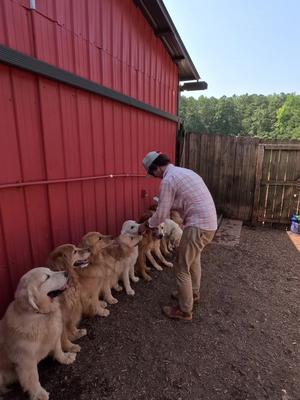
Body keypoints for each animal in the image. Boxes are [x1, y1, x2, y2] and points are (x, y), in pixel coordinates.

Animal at [0, 266, 76, 400]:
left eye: (50, 271)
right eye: (46, 277)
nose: (66, 273)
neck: (40, 314)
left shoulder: (54, 336)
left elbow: (58, 349)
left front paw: (65, 358)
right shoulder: (26, 360)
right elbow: (33, 378)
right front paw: (38, 393)